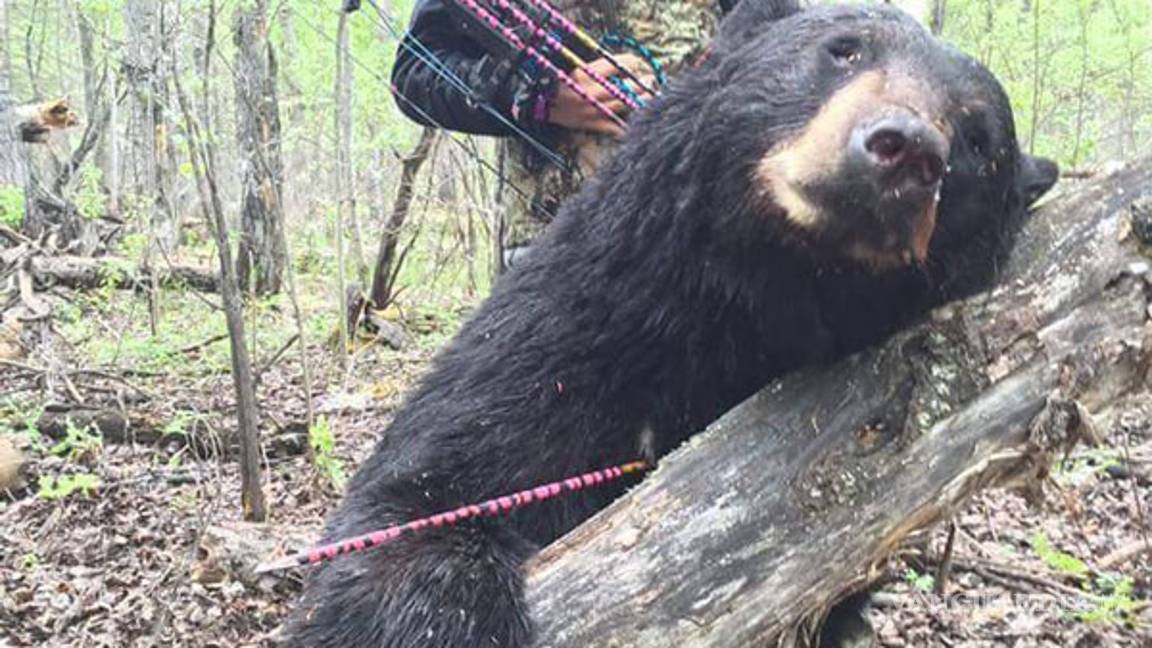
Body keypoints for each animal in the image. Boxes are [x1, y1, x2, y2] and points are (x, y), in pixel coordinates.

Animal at [284, 3, 1058, 646]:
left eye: (978, 138)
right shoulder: (569, 332)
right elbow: (416, 501)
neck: (758, 298)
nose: (905, 147)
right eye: (844, 49)